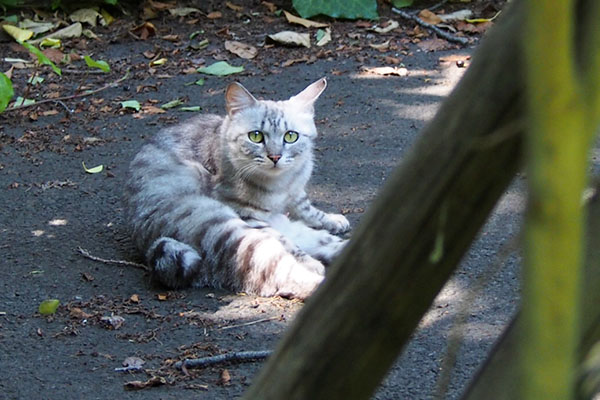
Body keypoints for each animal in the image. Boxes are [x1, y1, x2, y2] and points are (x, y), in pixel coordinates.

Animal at [125, 78, 352, 298]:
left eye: (290, 136)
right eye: (256, 136)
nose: (275, 157)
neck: (280, 185)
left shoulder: (296, 192)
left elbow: (308, 209)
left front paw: (332, 220)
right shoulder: (249, 216)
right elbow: (288, 243)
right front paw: (308, 260)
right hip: (232, 234)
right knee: (281, 274)